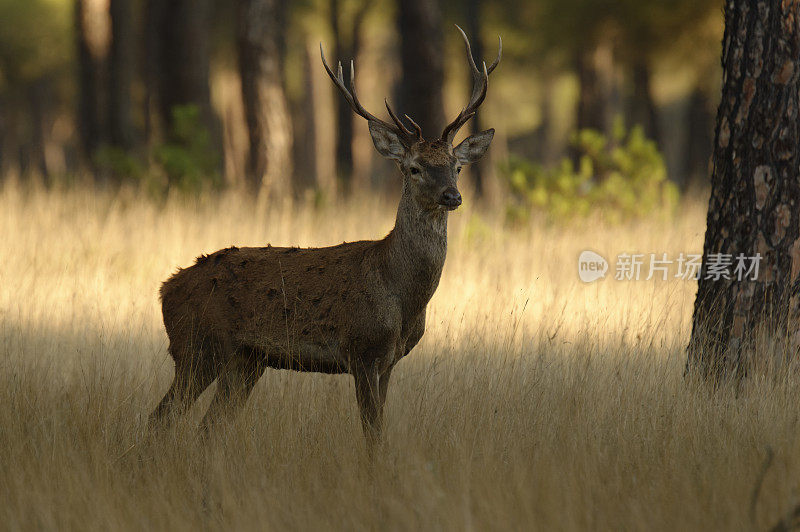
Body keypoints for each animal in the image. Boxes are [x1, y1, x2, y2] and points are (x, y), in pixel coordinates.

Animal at [148, 26, 500, 444]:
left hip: (245, 360)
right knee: (160, 417)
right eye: (414, 168)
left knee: (207, 426)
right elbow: (372, 434)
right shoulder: (362, 349)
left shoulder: (390, 361)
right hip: (198, 346)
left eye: (457, 166)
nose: (452, 196)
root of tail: (165, 289)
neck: (401, 297)